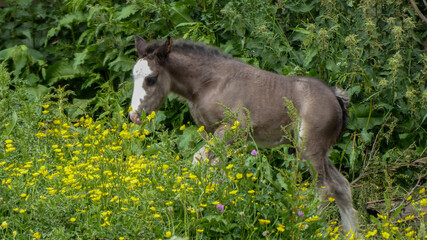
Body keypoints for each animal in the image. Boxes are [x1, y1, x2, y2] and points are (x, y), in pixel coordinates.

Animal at [129, 36, 360, 234]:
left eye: (152, 79)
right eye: (134, 76)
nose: (134, 116)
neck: (208, 83)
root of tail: (336, 97)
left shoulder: (232, 129)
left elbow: (199, 160)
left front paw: (196, 209)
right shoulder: (212, 135)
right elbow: (218, 172)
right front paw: (216, 208)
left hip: (309, 149)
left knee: (324, 189)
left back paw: (307, 229)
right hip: (317, 150)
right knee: (342, 186)